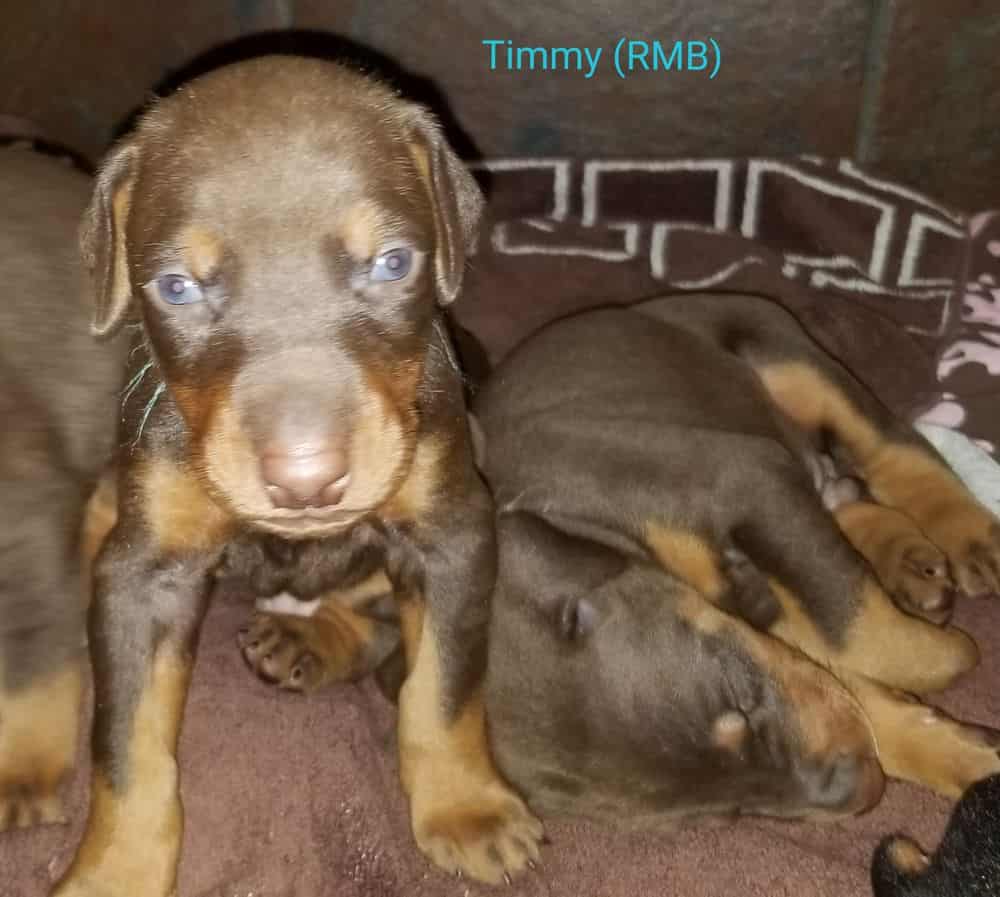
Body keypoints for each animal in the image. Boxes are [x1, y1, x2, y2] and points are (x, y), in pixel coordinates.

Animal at [51, 57, 544, 896]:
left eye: (393, 263)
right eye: (177, 286)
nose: (306, 480)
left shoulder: (452, 530)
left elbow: (445, 686)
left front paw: (466, 808)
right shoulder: (144, 572)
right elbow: (126, 744)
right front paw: (114, 870)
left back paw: (310, 637)